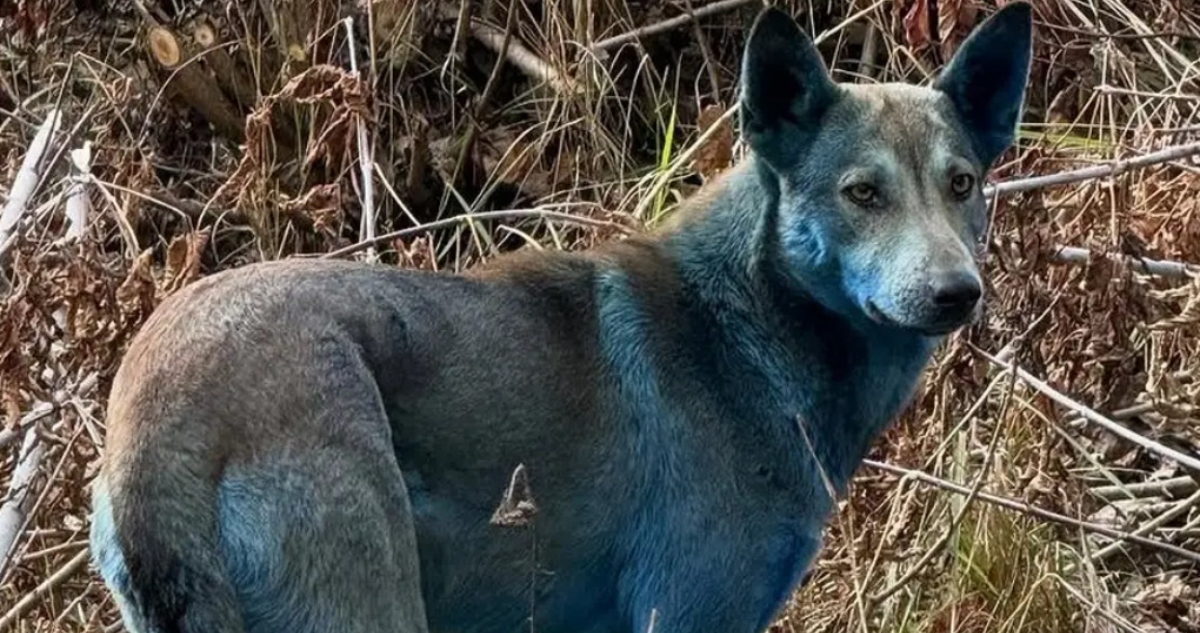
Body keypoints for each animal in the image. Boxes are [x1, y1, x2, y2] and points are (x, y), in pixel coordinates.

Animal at [89, 4, 1032, 632]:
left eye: (962, 184)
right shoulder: (688, 613)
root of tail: (152, 420)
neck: (747, 329)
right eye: (862, 192)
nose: (957, 292)